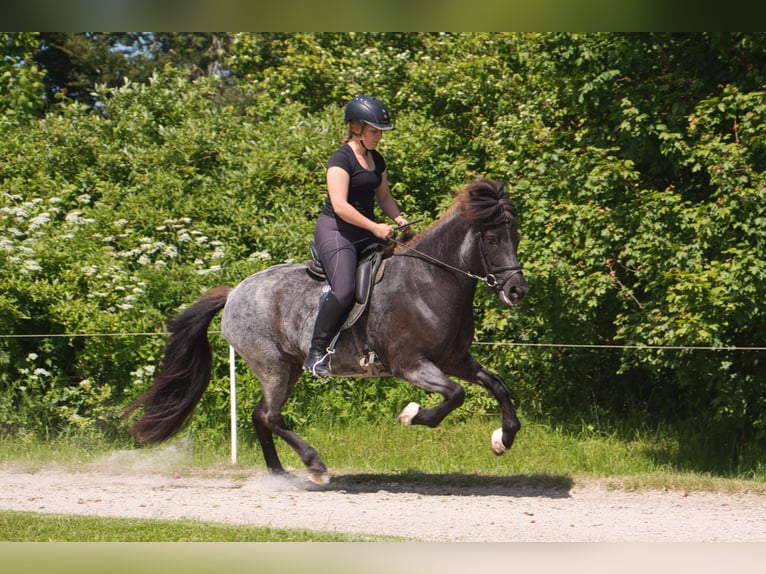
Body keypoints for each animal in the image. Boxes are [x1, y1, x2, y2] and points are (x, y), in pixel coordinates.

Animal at [127, 179, 536, 486]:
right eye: (492, 239)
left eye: (515, 236)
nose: (517, 292)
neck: (430, 280)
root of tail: (233, 293)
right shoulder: (410, 365)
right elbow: (454, 396)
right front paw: (411, 415)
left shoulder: (455, 359)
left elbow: (497, 385)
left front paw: (503, 439)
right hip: (272, 366)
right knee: (270, 416)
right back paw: (315, 465)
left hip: (287, 368)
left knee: (261, 415)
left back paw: (279, 474)